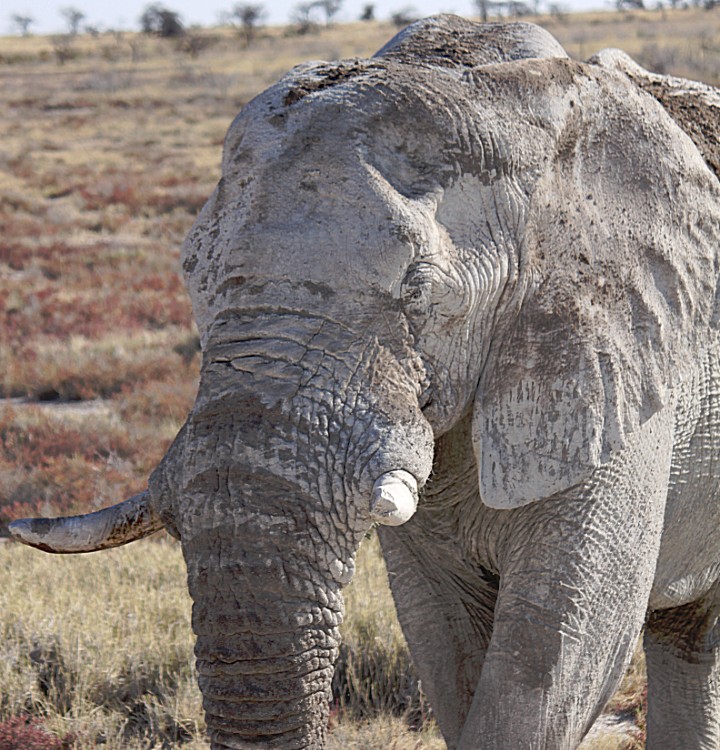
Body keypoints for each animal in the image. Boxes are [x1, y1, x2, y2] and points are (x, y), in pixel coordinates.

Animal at [8, 13, 720, 750]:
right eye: (193, 275)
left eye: (422, 291)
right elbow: (443, 637)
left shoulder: (615, 368)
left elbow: (556, 653)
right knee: (687, 634)